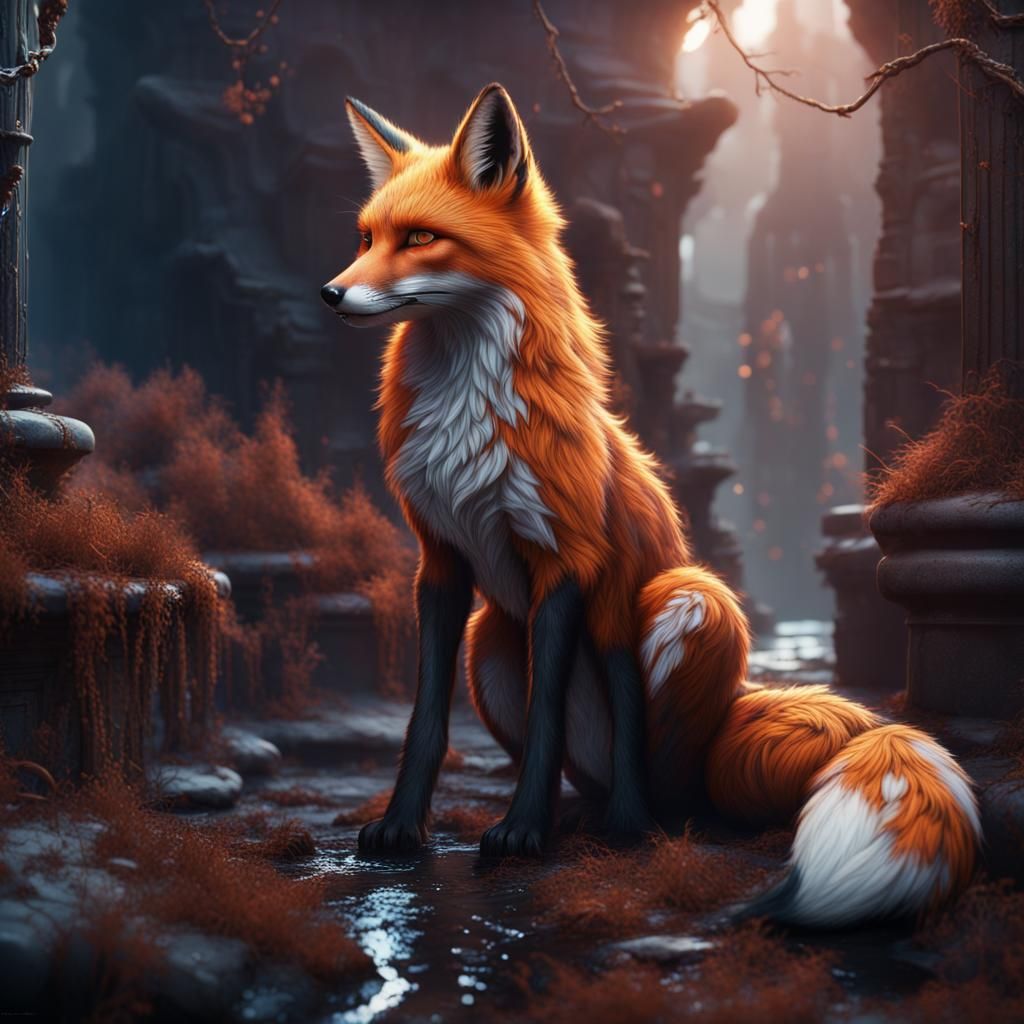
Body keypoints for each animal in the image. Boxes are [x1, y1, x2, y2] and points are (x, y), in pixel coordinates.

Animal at [320, 83, 981, 928]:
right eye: (367, 237)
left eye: (421, 238)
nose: (332, 293)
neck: (467, 413)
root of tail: (734, 714)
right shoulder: (440, 564)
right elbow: (427, 720)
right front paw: (403, 826)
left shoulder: (565, 559)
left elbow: (543, 720)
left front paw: (522, 833)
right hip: (489, 636)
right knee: (581, 761)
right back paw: (583, 816)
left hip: (686, 598)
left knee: (661, 775)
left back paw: (630, 825)